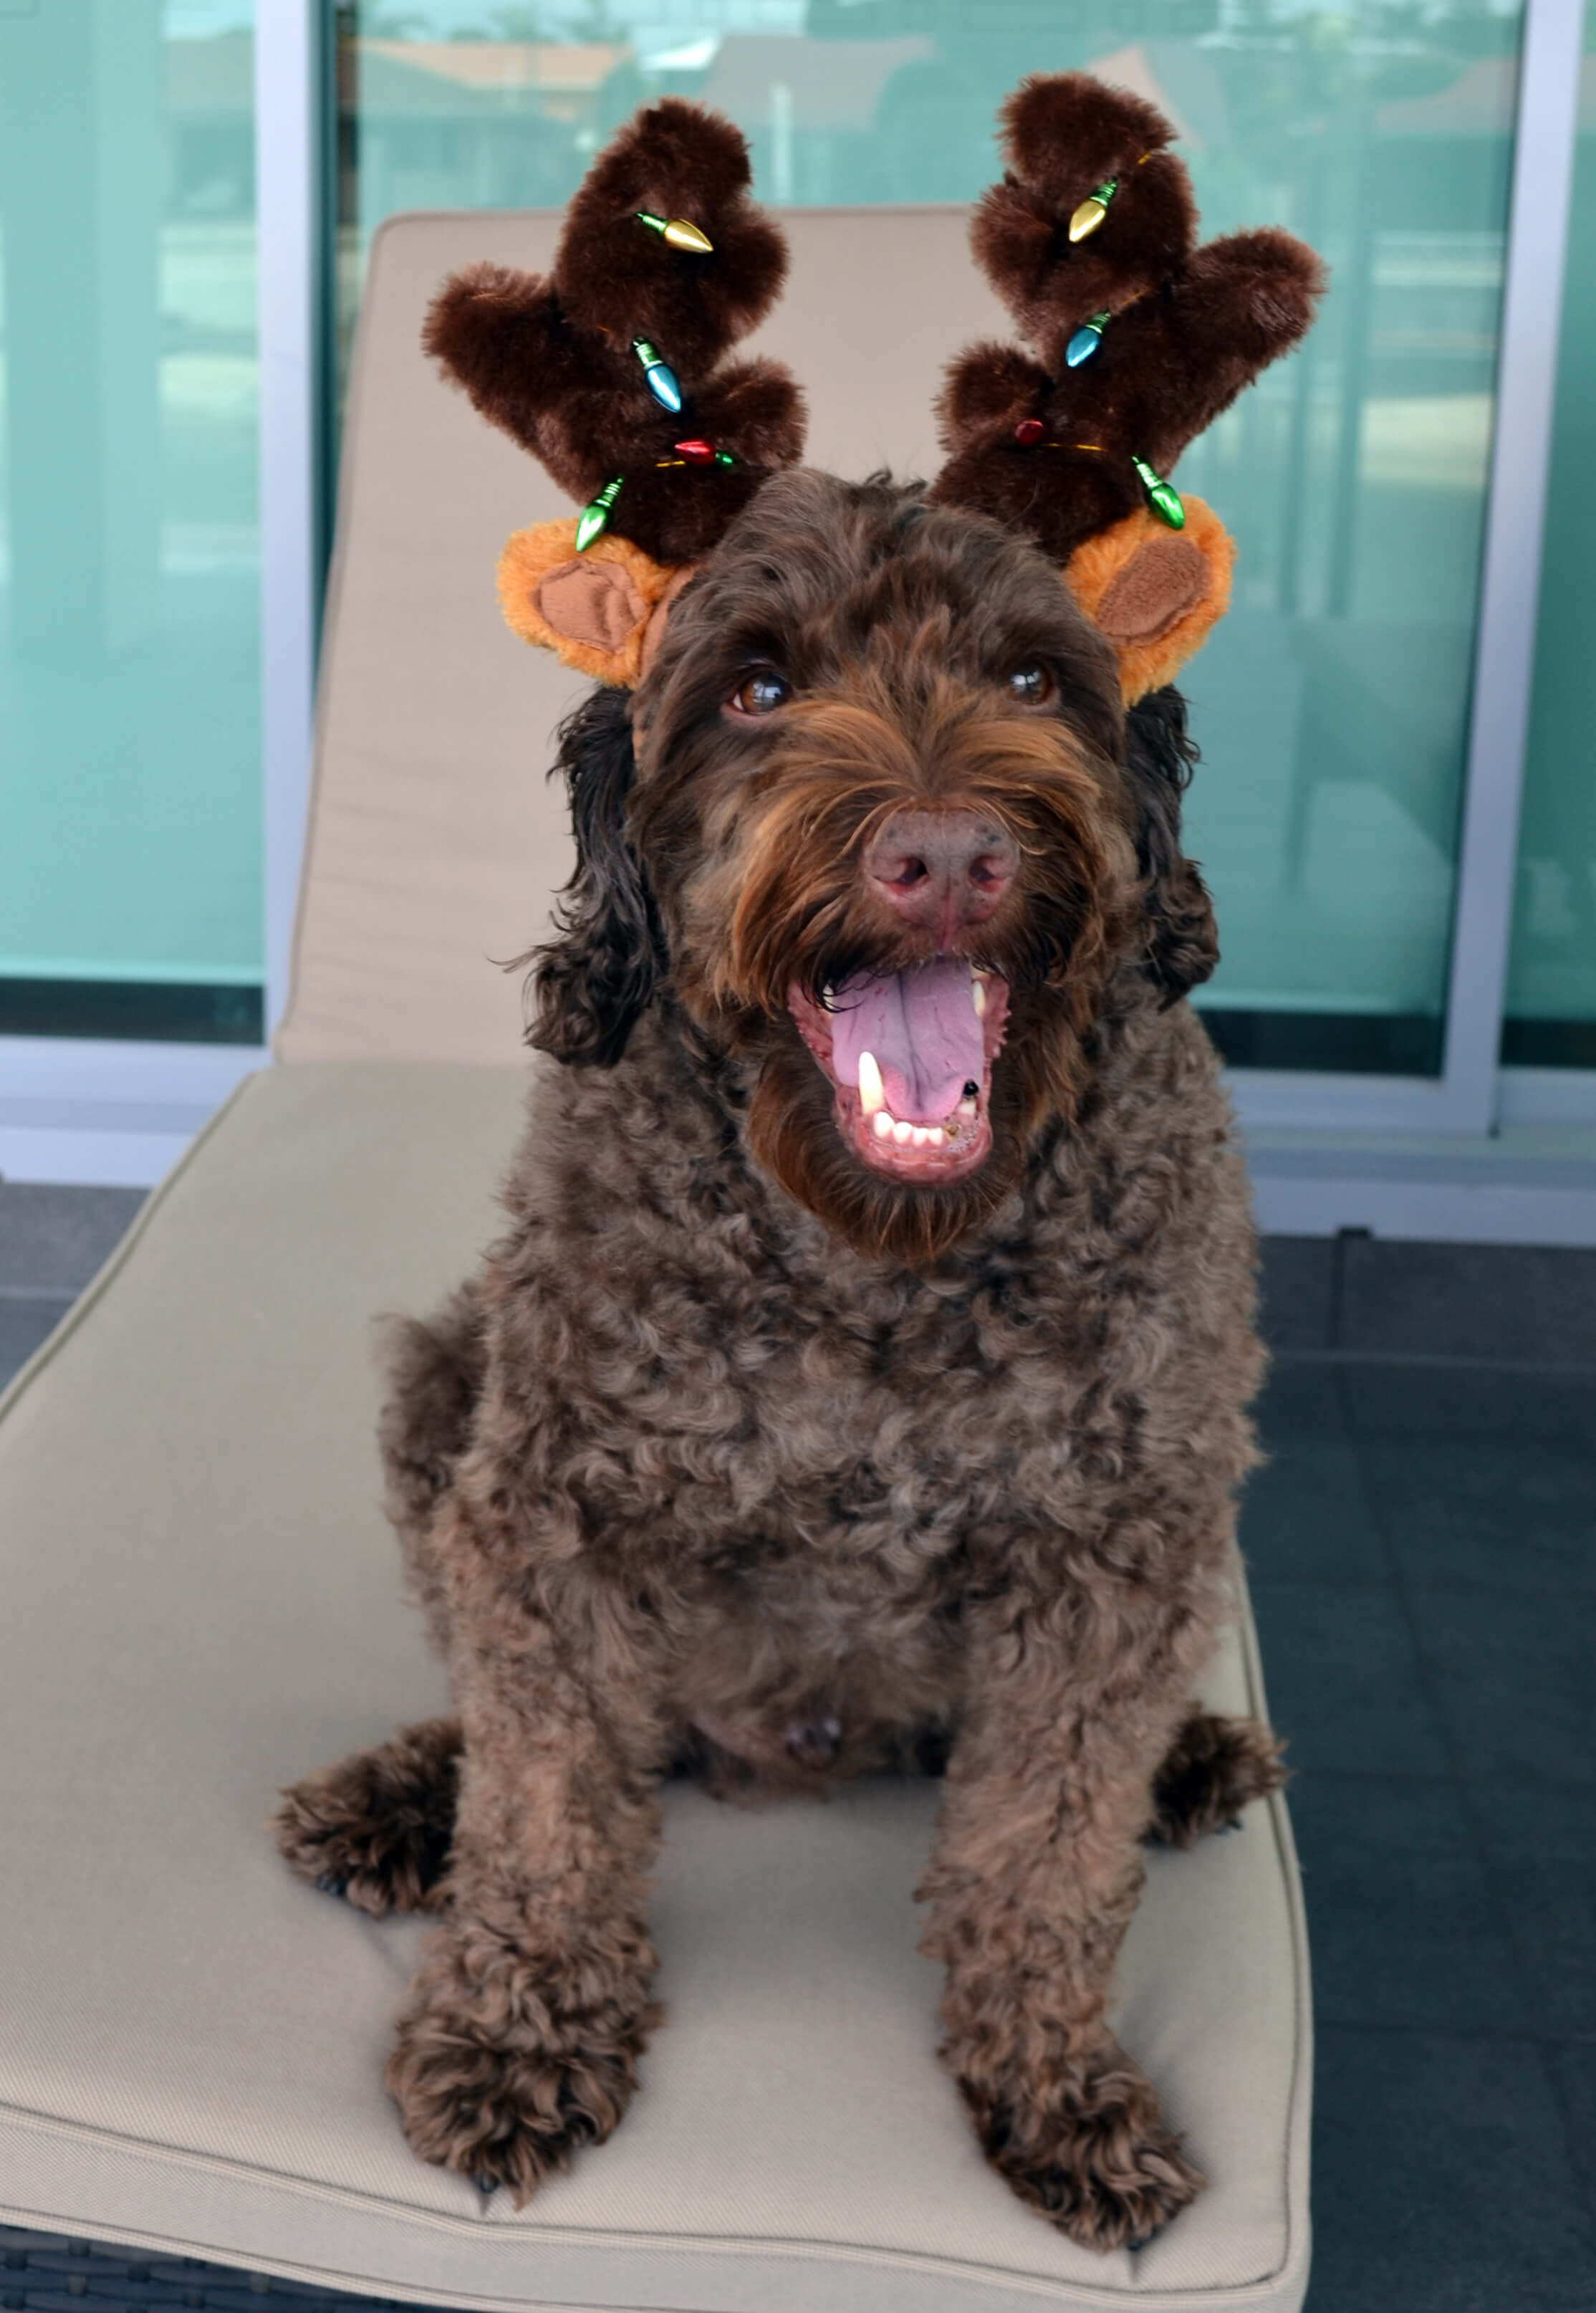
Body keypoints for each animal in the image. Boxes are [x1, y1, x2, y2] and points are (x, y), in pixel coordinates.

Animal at [266, 460, 1277, 2248]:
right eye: (753, 690)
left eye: (1035, 677)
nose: (943, 853)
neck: (878, 1260)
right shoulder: (551, 1517)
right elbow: (544, 1804)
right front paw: (515, 2038)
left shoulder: (1116, 1559)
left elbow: (1046, 1859)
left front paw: (1052, 2089)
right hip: (442, 1382)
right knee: (541, 1722)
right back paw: (404, 1797)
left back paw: (1188, 1765)